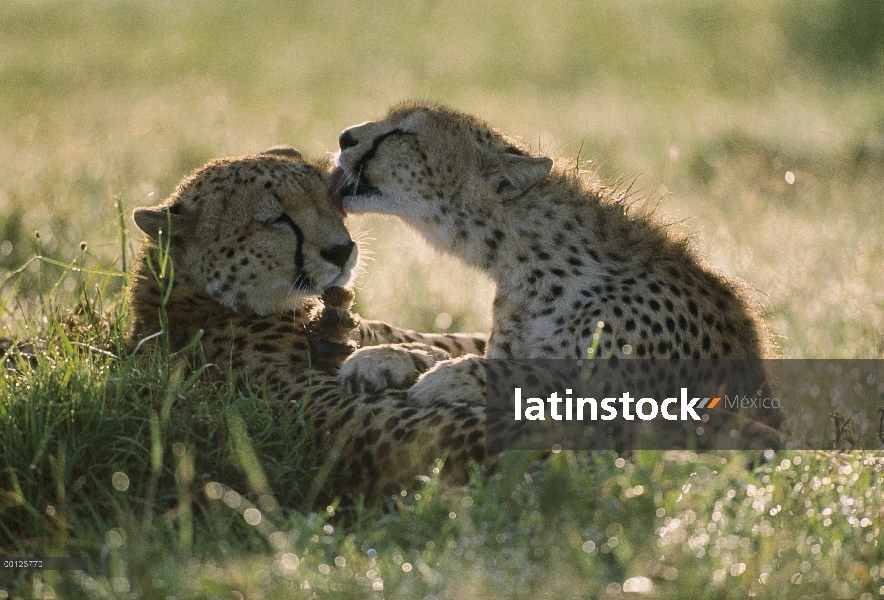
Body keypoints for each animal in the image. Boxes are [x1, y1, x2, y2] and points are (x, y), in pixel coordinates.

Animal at [330, 103, 780, 436]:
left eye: (400, 134)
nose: (343, 136)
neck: (527, 259)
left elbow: (539, 376)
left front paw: (451, 376)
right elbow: (452, 344)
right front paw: (390, 355)